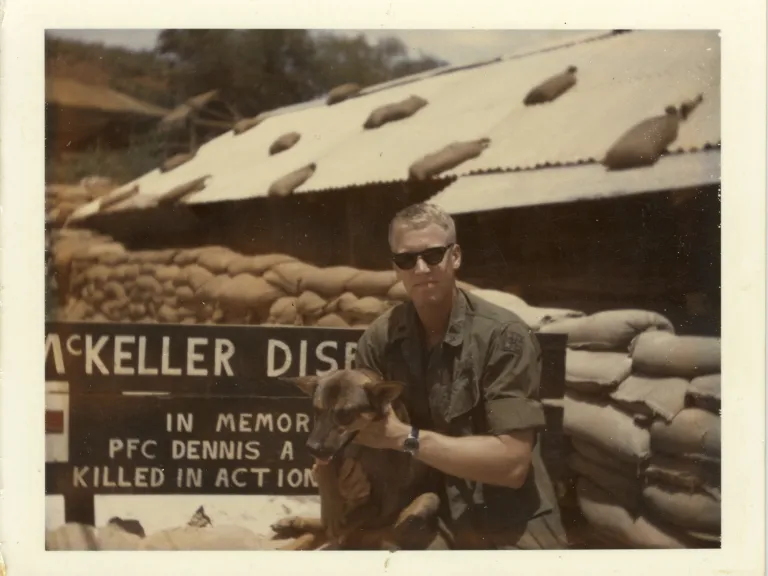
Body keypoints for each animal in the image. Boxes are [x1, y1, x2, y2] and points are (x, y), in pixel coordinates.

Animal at [272, 368, 448, 548]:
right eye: (316, 410)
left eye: (345, 414)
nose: (311, 448)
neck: (359, 445)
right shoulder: (331, 456)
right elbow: (326, 471)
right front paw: (331, 508)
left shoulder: (379, 502)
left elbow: (336, 526)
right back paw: (294, 524)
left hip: (427, 501)